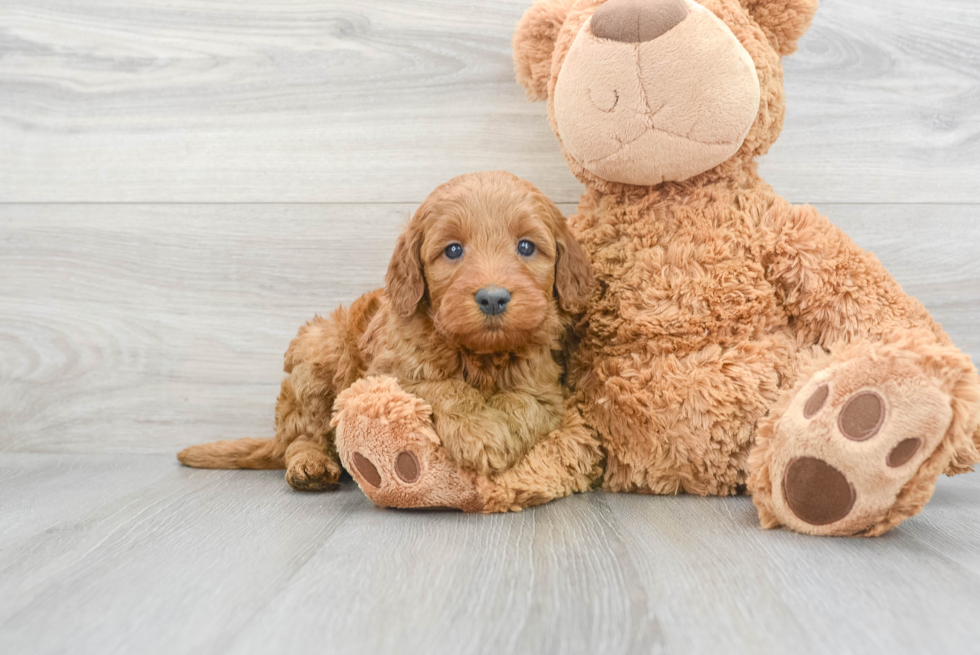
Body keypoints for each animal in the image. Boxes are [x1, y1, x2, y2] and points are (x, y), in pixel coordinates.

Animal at [177, 172, 592, 494]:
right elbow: (444, 388)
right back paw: (309, 466)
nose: (492, 298)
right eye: (453, 250)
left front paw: (495, 434)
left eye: (526, 246)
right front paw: (479, 433)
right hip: (317, 354)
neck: (479, 353)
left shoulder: (544, 388)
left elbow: (522, 404)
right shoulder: (390, 373)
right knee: (303, 434)